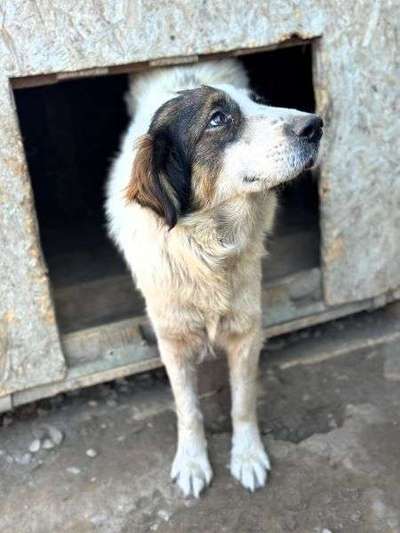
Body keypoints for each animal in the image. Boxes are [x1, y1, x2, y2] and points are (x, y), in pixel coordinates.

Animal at [105, 60, 322, 496]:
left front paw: (248, 456)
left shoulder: (246, 330)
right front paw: (192, 462)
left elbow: (243, 402)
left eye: (259, 101)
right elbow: (187, 410)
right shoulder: (172, 338)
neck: (208, 245)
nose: (316, 125)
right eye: (218, 119)